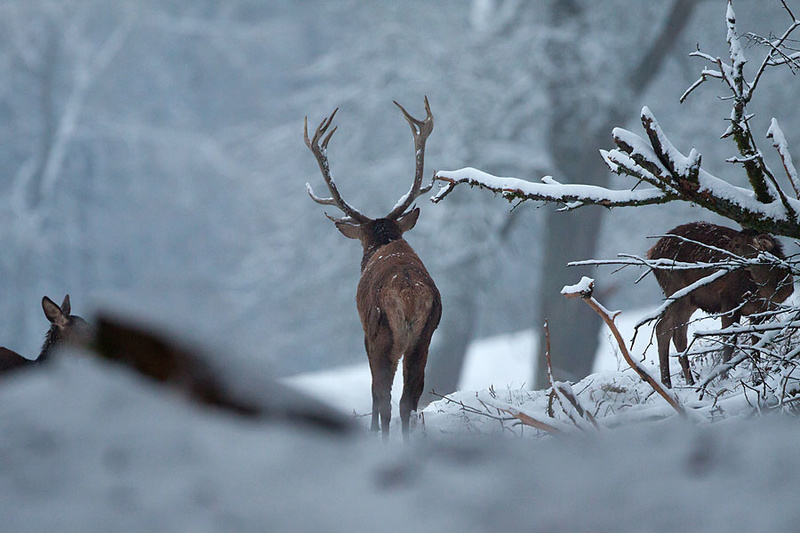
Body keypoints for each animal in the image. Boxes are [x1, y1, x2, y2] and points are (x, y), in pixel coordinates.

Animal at [306, 97, 444, 438]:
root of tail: (408, 294)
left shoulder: (366, 333)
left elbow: (374, 391)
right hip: (424, 337)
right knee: (410, 397)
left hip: (382, 333)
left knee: (383, 395)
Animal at [648, 220, 792, 386]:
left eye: (737, 244)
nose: (720, 259)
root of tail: (652, 254)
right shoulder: (728, 298)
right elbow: (729, 342)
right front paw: (723, 379)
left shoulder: (761, 312)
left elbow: (756, 343)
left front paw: (757, 379)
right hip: (678, 291)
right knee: (677, 336)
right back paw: (689, 382)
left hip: (689, 300)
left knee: (662, 327)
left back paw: (666, 384)